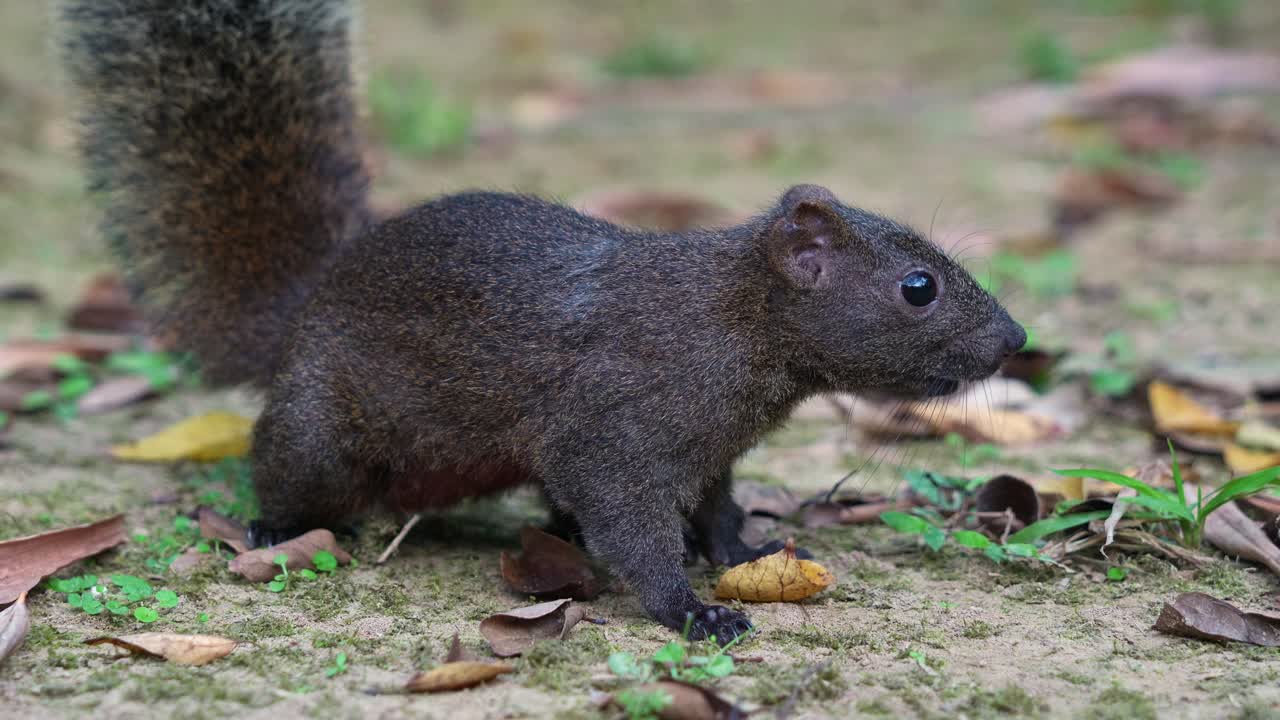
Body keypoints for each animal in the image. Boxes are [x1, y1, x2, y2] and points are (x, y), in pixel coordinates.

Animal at [62, 0, 1025, 643]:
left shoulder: (710, 449)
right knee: (288, 468)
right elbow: (632, 528)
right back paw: (273, 527)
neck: (735, 322)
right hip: (322, 429)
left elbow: (714, 506)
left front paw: (740, 547)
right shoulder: (617, 431)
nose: (1018, 342)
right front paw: (691, 611)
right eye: (918, 287)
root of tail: (303, 308)